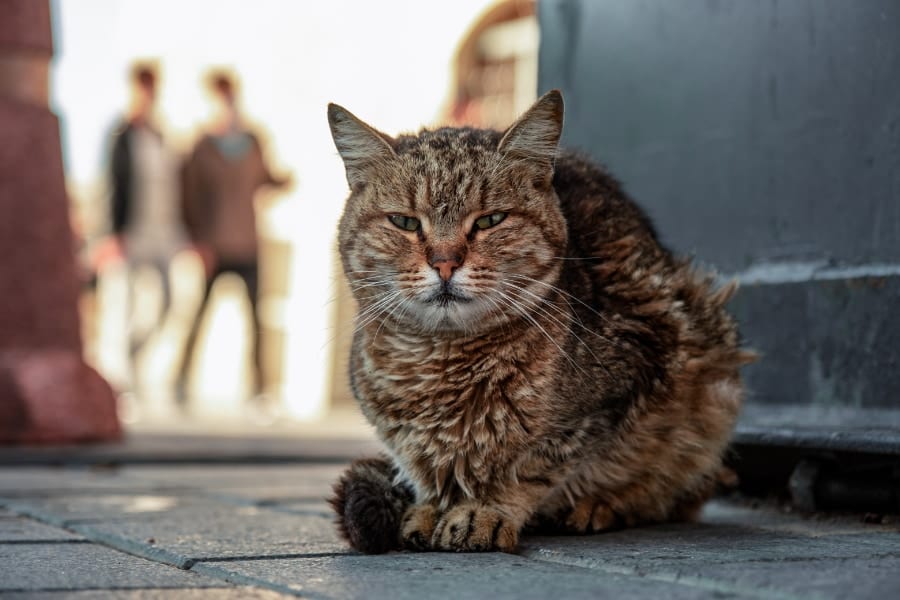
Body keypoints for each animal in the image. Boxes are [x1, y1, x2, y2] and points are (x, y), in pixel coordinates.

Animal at [326, 91, 748, 556]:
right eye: (404, 222)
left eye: (490, 220)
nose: (445, 262)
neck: (439, 364)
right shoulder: (399, 438)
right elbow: (426, 469)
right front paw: (432, 506)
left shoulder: (619, 387)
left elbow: (531, 466)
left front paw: (484, 510)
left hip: (710, 374)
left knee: (674, 492)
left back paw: (598, 506)